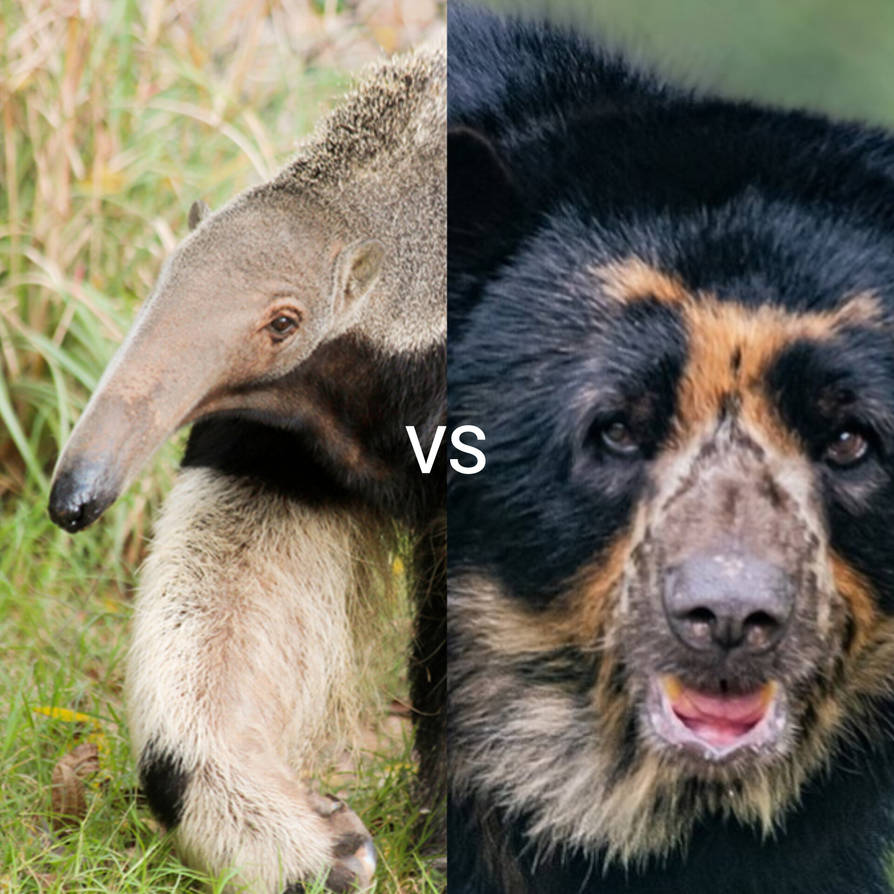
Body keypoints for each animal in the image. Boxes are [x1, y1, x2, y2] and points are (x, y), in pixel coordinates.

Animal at [48, 42, 445, 894]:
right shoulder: (299, 426)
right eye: (162, 281)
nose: (74, 498)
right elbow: (247, 566)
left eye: (282, 323)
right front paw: (313, 843)